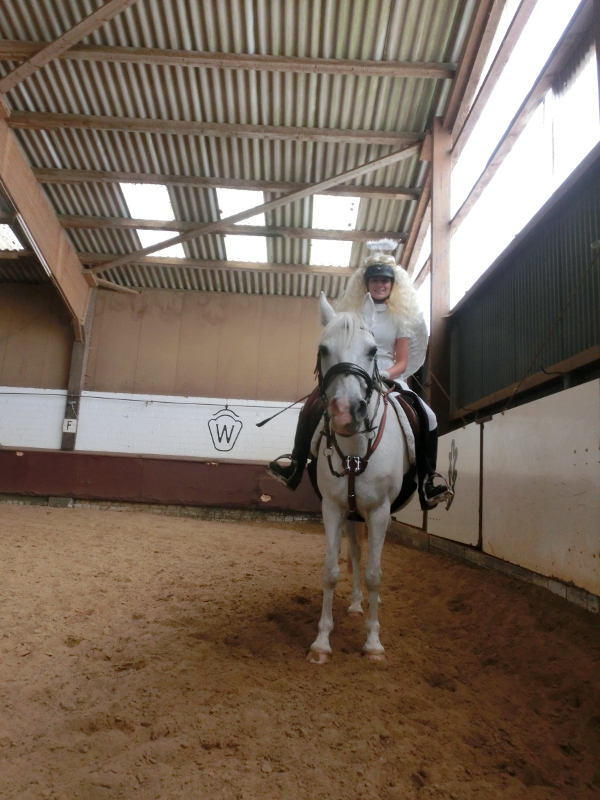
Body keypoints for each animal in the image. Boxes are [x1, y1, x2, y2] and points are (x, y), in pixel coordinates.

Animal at [307, 291, 411, 663]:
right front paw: (322, 641)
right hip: (351, 515)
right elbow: (332, 570)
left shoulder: (380, 511)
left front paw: (373, 642)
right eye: (324, 349)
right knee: (353, 553)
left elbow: (375, 574)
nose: (345, 412)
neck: (354, 450)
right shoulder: (333, 508)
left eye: (372, 350)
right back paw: (354, 604)